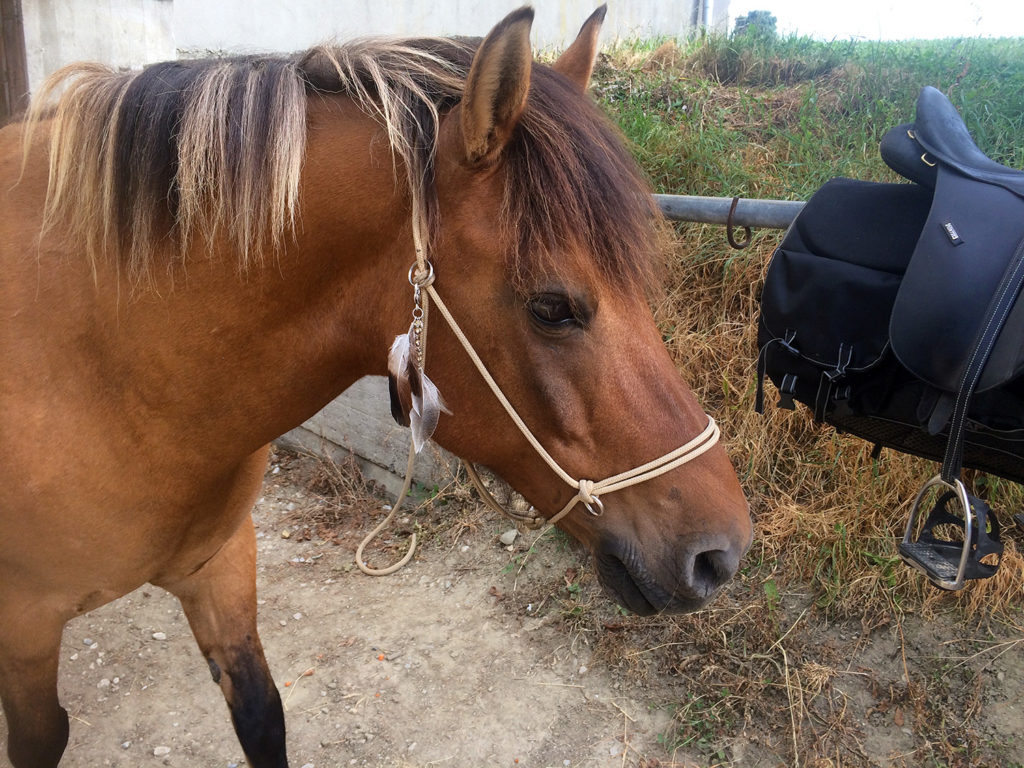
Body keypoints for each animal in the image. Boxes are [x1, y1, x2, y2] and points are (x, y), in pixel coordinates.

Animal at [0, 7, 753, 768]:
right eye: (551, 307)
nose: (723, 554)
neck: (113, 367)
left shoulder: (219, 564)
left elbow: (262, 714)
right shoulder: (24, 630)